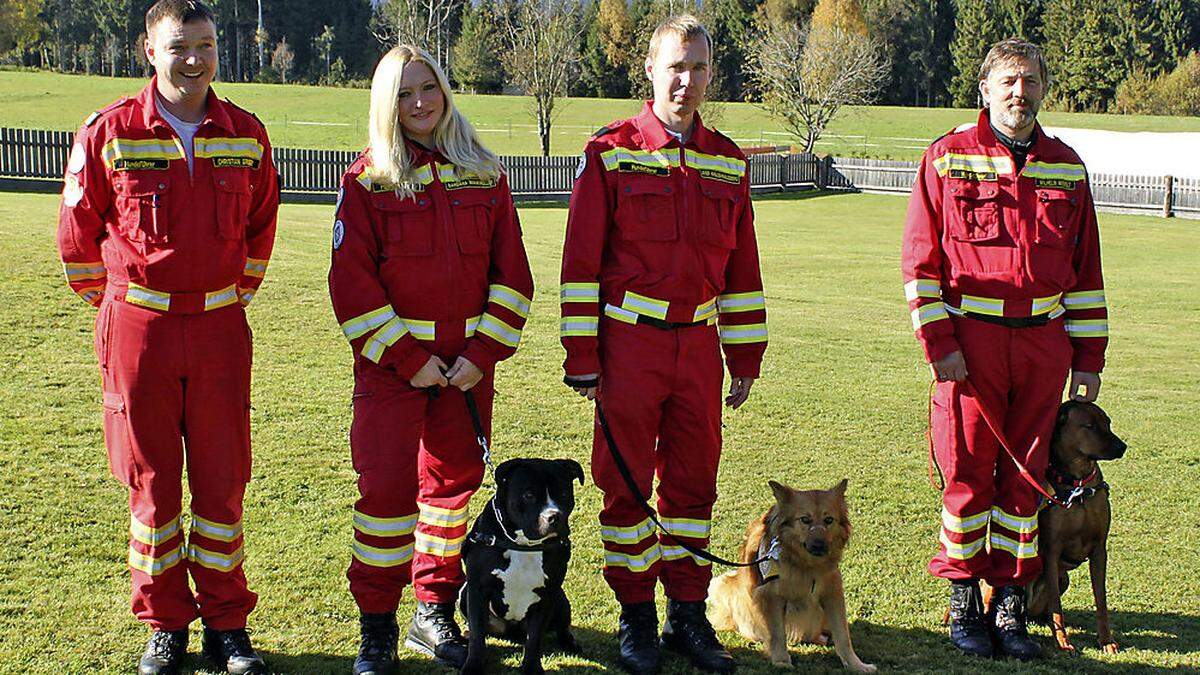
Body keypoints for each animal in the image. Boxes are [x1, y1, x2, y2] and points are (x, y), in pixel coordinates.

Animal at [458, 456, 585, 672]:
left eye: (564, 493)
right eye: (529, 495)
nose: (555, 516)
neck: (523, 544)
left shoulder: (547, 595)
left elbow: (534, 638)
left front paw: (531, 668)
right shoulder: (477, 590)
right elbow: (477, 635)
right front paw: (473, 666)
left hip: (561, 599)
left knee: (561, 627)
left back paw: (570, 643)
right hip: (464, 593)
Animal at [705, 475, 878, 667]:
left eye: (829, 520)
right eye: (805, 520)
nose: (820, 545)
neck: (806, 565)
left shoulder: (832, 592)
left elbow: (843, 634)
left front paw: (857, 665)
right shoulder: (771, 595)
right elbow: (778, 633)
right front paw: (781, 661)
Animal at [1022, 398, 1123, 653]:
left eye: (1107, 422)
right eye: (1090, 426)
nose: (1122, 447)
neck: (1078, 484)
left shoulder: (1099, 549)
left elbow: (1101, 600)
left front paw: (1106, 641)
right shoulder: (1051, 552)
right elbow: (1057, 607)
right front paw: (1063, 642)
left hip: (1063, 579)